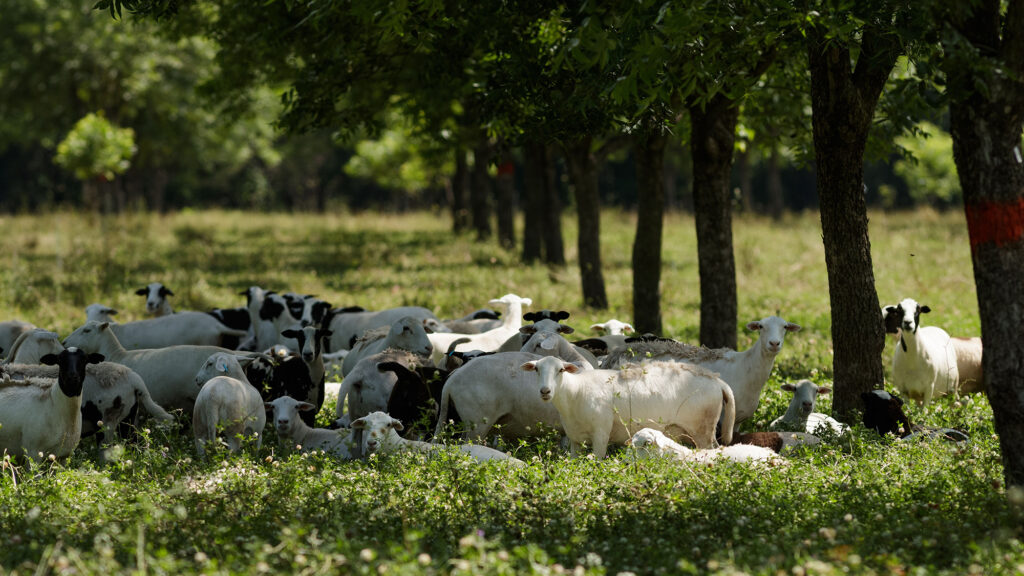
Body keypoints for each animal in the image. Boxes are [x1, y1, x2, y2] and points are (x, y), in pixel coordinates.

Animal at [521, 356, 736, 458]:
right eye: (537, 369)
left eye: (561, 370)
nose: (545, 391)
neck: (576, 392)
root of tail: (717, 381)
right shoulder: (575, 439)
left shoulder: (601, 432)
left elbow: (597, 459)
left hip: (702, 430)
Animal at [601, 315, 801, 426]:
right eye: (760, 326)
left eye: (785, 327)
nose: (774, 343)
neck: (746, 367)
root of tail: (617, 352)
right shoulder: (723, 417)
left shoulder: (737, 421)